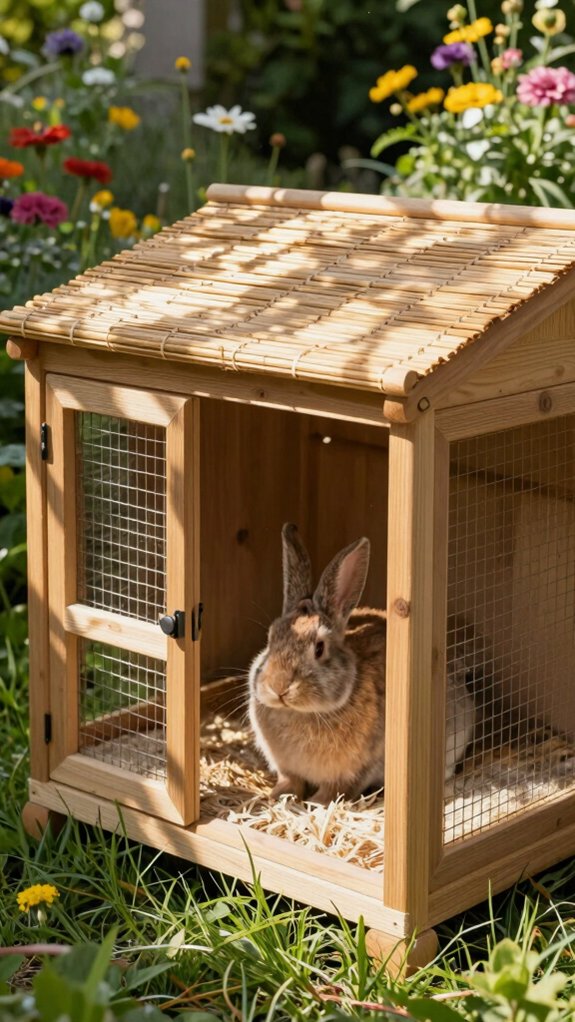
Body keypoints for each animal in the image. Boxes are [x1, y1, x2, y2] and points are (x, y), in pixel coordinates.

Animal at [249, 523, 477, 804]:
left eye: (319, 648)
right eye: (270, 639)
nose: (278, 687)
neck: (304, 712)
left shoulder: (358, 768)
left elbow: (336, 790)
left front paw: (315, 804)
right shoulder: (287, 769)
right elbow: (290, 781)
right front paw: (275, 797)